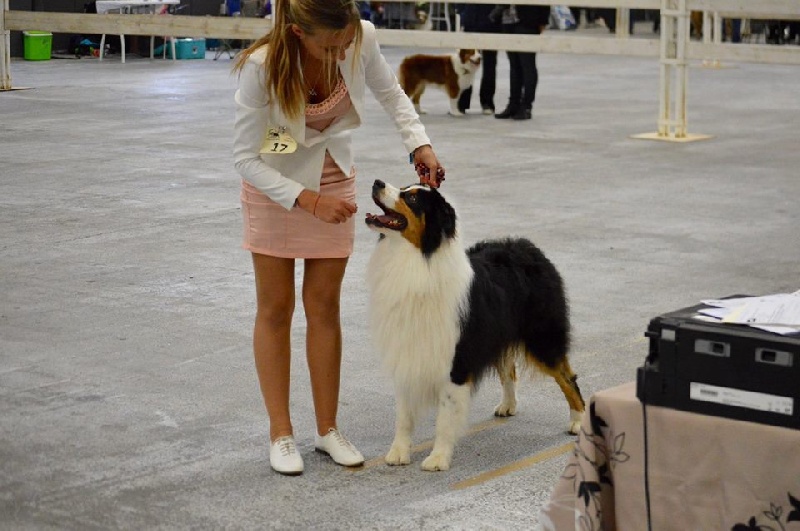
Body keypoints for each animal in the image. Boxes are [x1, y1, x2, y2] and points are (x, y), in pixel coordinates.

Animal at [365, 180, 585, 472]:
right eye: (402, 187)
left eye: (411, 198)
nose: (377, 183)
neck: (417, 258)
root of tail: (529, 247)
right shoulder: (407, 351)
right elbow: (404, 415)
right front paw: (398, 453)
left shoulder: (457, 359)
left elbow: (445, 417)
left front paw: (437, 459)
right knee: (508, 368)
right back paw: (508, 405)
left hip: (542, 337)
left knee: (567, 377)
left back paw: (578, 421)